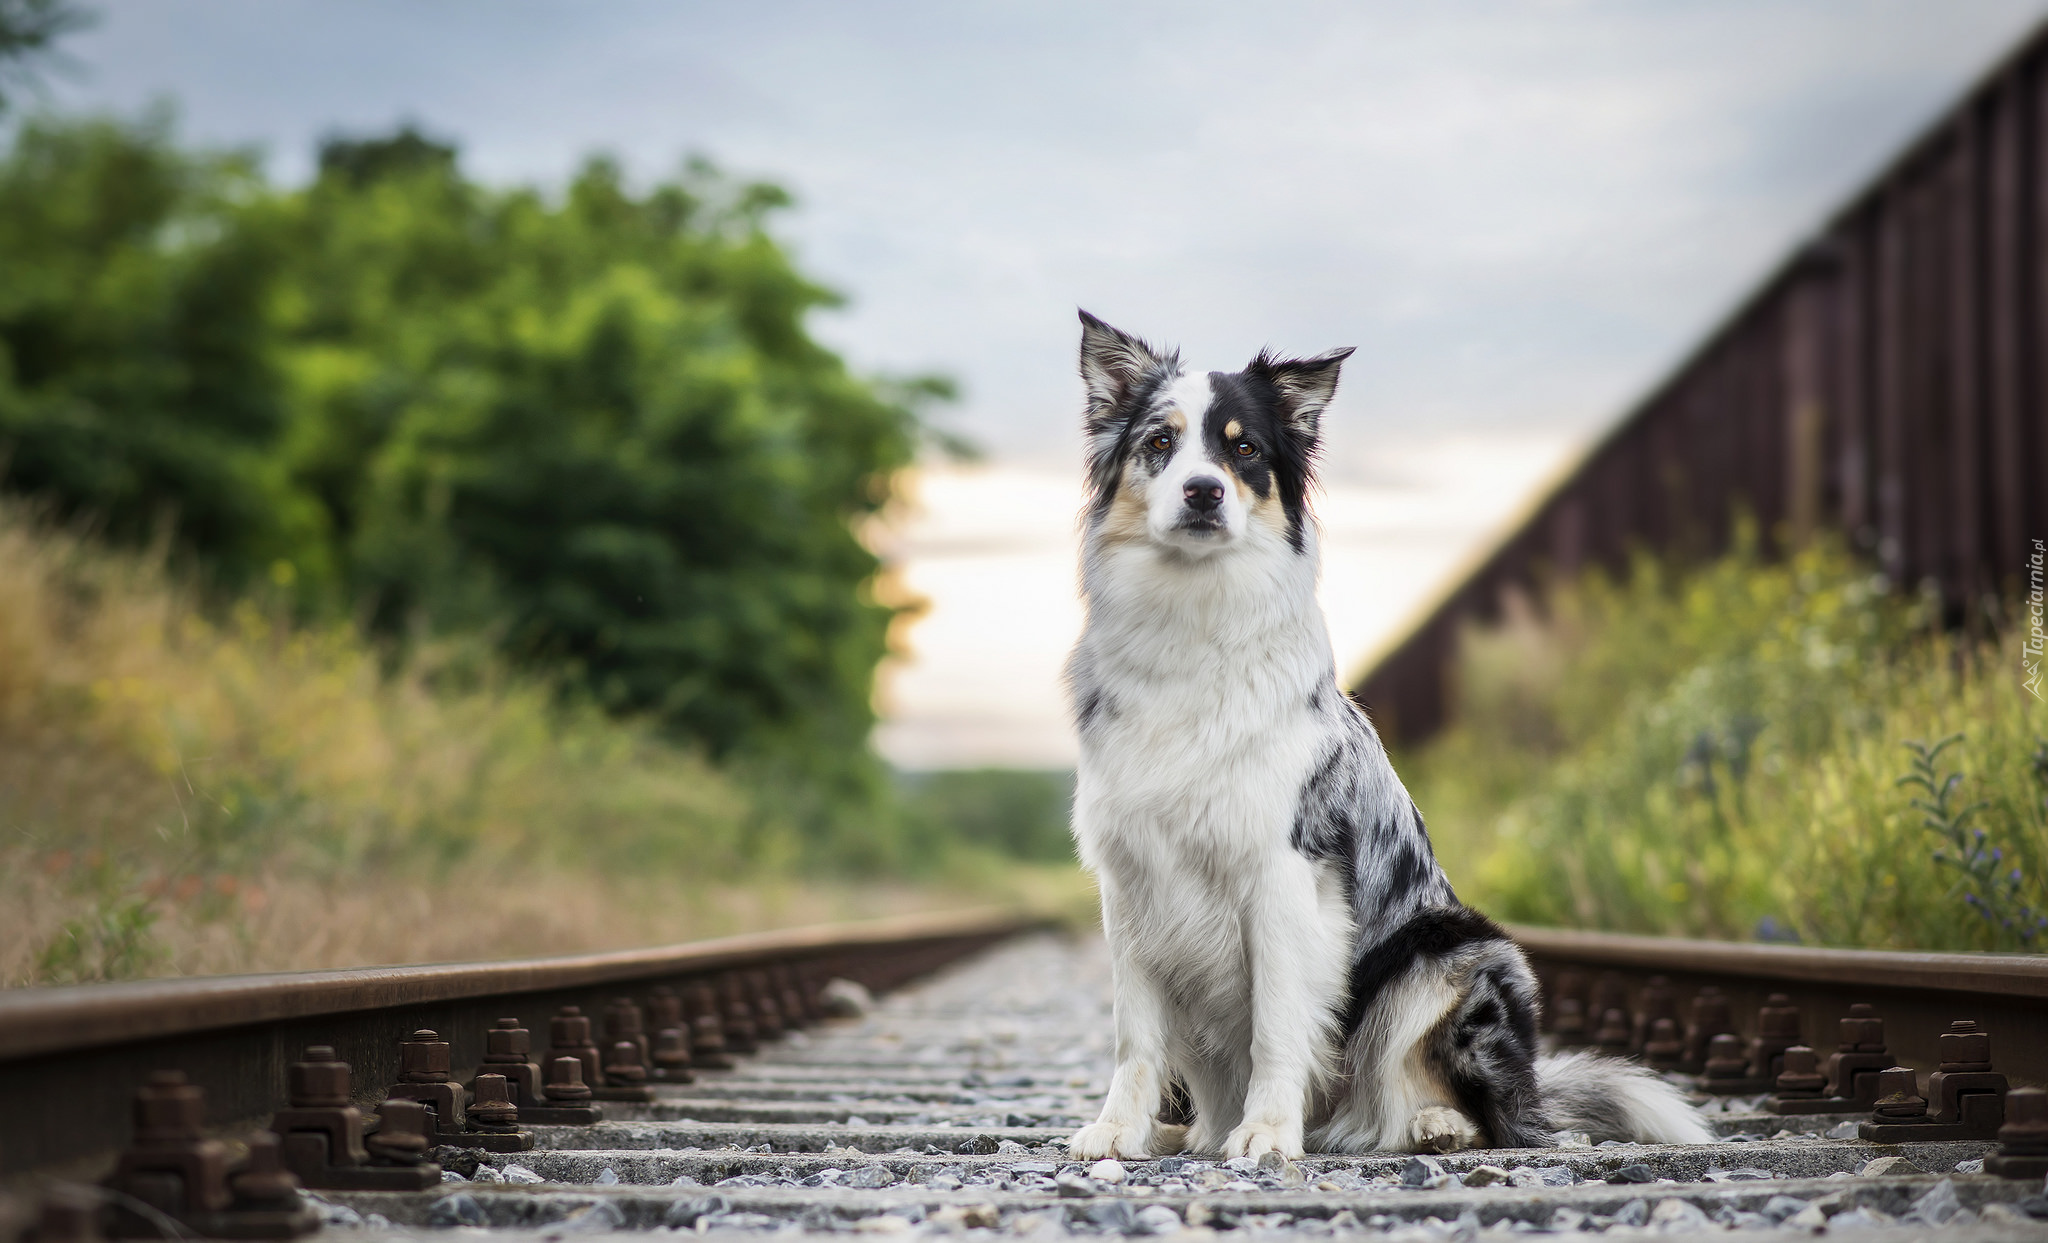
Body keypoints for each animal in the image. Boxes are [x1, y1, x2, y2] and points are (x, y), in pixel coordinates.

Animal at [1064, 313, 1703, 1163]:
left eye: (1245, 450)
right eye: (1160, 442)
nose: (1204, 491)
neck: (1192, 618)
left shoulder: (1284, 874)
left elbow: (1276, 1023)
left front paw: (1267, 1131)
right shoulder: (1131, 879)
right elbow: (1136, 1033)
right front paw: (1117, 1129)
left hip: (1454, 953)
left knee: (1469, 1107)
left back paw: (1434, 1123)